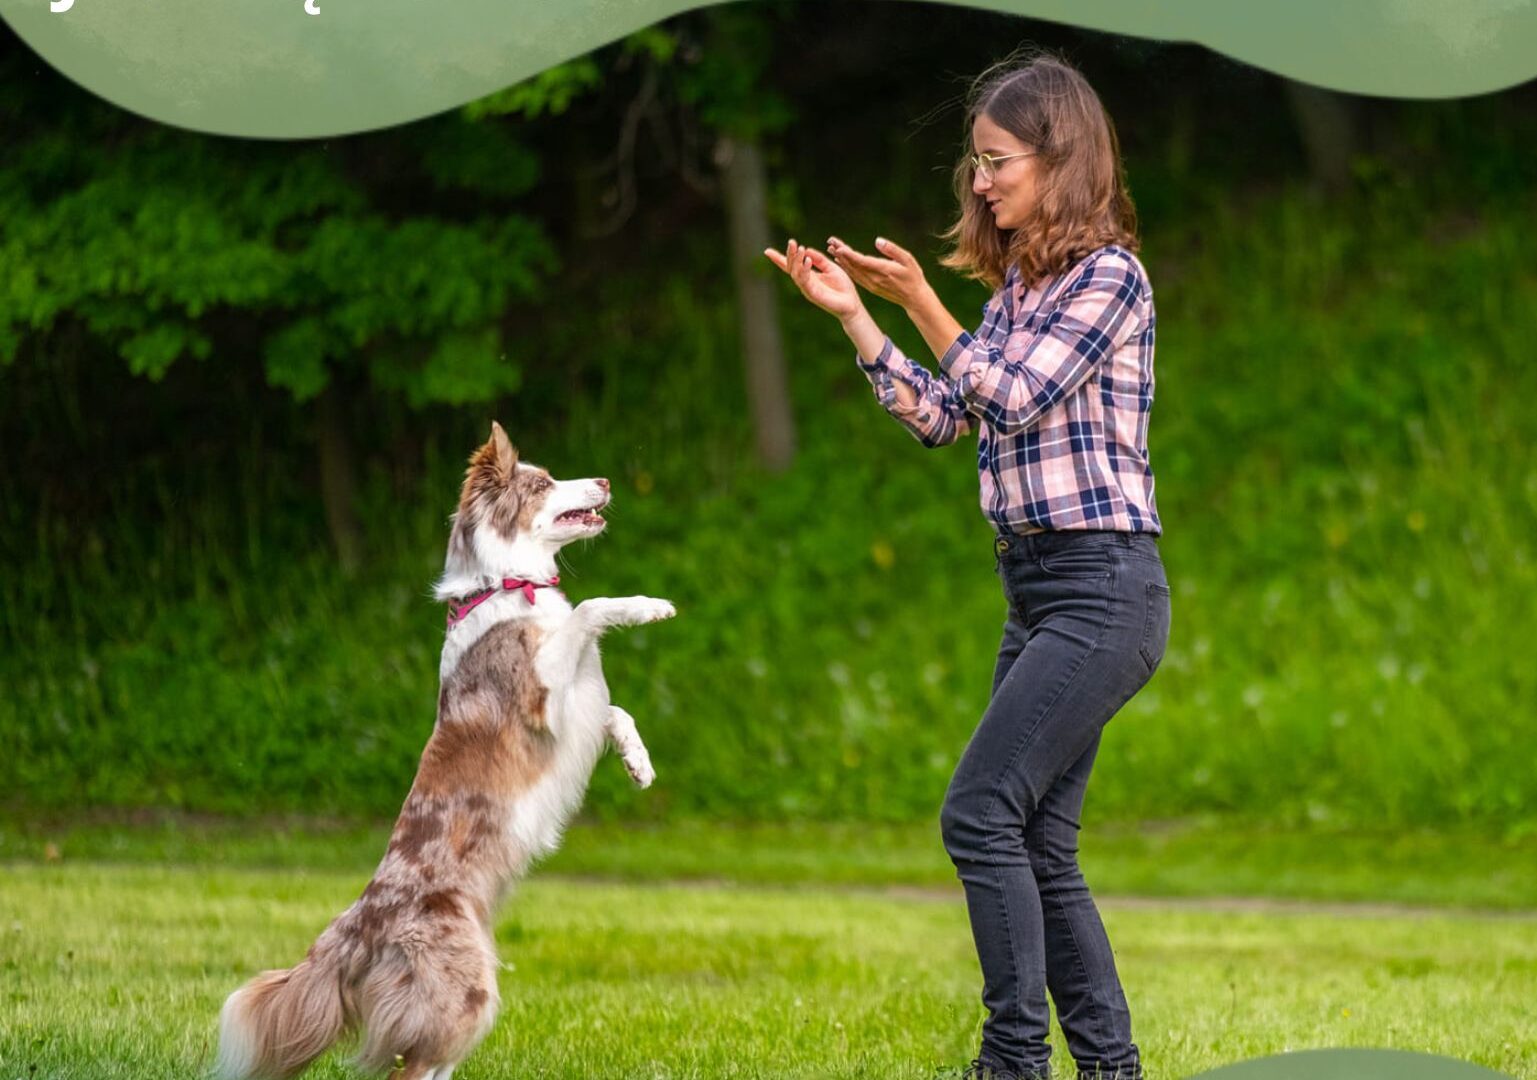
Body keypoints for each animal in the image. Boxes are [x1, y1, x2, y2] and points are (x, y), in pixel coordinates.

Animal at [215, 424, 673, 1080]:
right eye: (543, 483)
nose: (607, 480)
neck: (510, 585)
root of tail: (356, 928)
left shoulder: (580, 705)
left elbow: (618, 711)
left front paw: (639, 762)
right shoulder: (545, 705)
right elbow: (590, 610)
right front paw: (645, 606)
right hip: (465, 990)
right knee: (407, 1069)